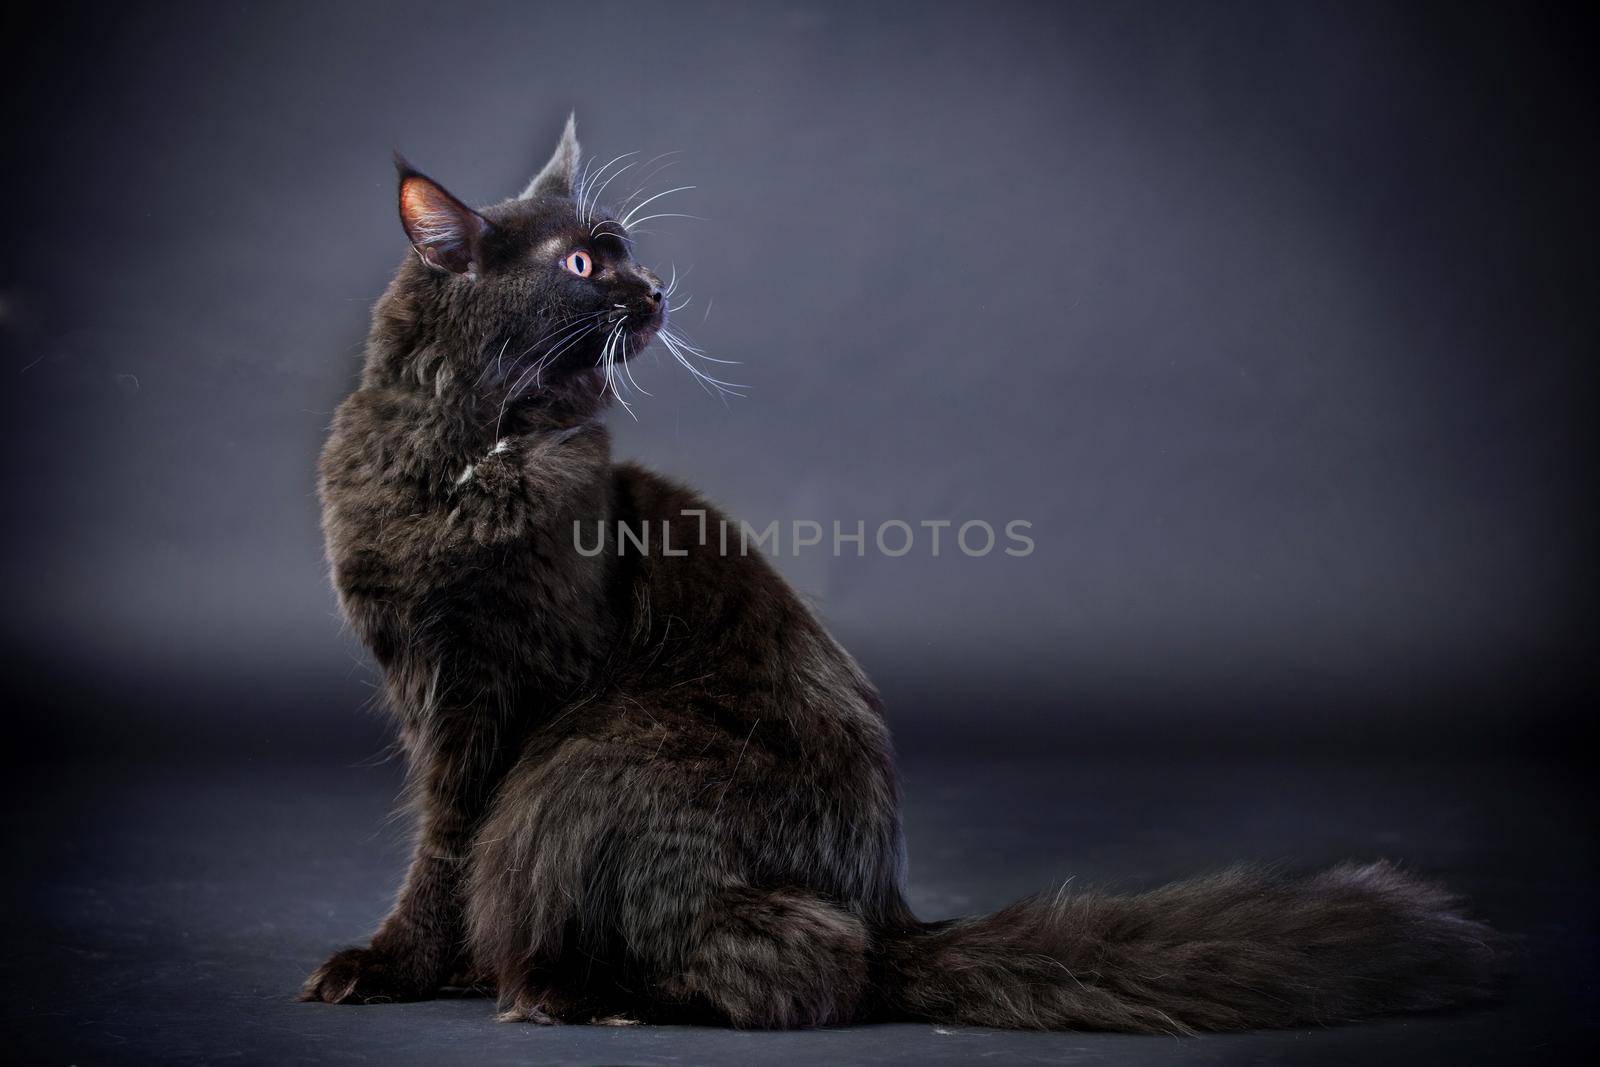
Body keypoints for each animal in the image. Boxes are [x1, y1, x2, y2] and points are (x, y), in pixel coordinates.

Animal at [300, 120, 1497, 1030]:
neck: (464, 454)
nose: (656, 289)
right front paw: (416, 966)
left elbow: (450, 844)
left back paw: (582, 995)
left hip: (589, 763)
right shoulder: (428, 683)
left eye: (624, 252)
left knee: (813, 966)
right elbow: (437, 843)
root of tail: (890, 908)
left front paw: (413, 965)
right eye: (583, 266)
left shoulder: (509, 687)